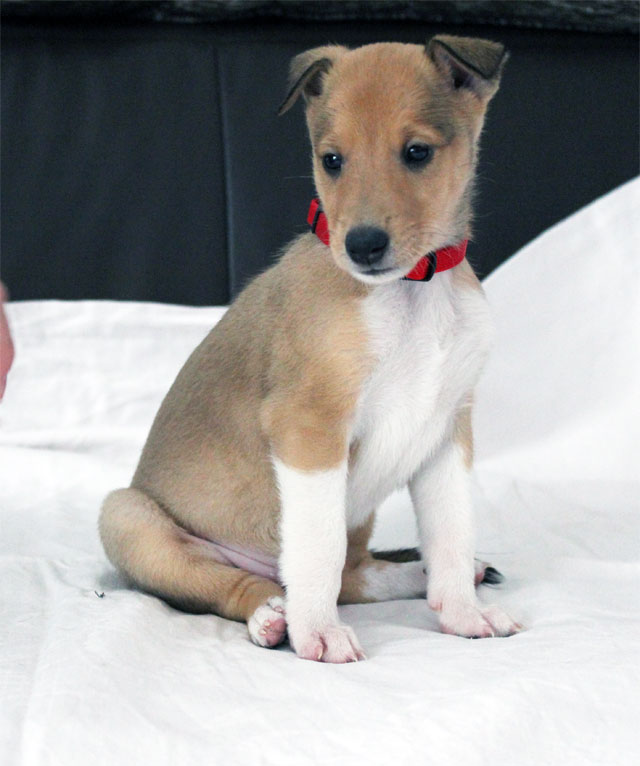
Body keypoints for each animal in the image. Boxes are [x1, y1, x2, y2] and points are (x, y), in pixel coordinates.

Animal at [99, 36, 522, 663]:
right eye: (332, 160)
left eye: (417, 152)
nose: (363, 245)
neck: (410, 293)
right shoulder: (310, 427)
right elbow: (317, 550)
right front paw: (318, 632)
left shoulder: (446, 433)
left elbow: (450, 533)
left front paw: (464, 614)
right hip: (129, 517)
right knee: (238, 583)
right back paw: (274, 617)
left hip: (360, 514)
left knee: (355, 573)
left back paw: (419, 575)